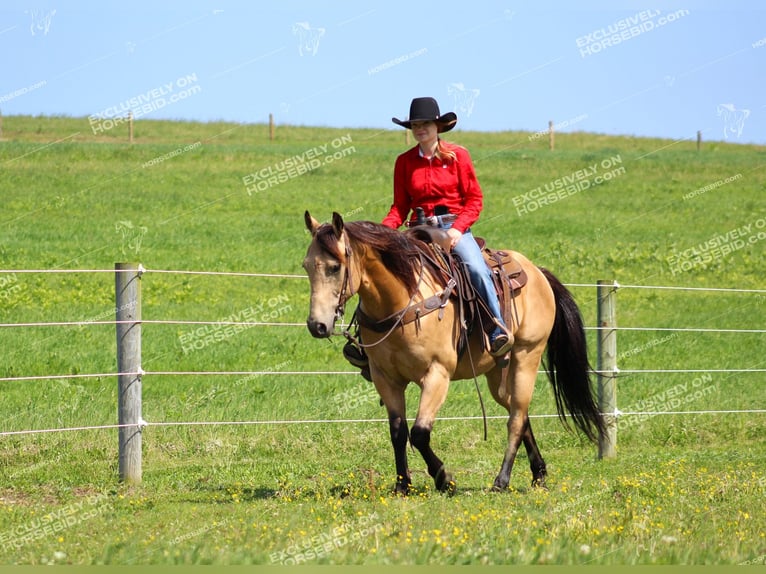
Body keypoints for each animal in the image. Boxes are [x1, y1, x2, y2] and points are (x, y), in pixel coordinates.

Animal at [302, 212, 608, 496]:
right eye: (306, 266)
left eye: (334, 267)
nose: (317, 326)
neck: (402, 303)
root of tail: (537, 272)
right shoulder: (385, 378)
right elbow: (398, 432)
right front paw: (402, 486)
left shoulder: (437, 374)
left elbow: (419, 433)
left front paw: (444, 480)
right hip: (498, 373)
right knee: (518, 411)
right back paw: (539, 474)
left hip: (527, 355)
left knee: (516, 419)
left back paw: (501, 481)